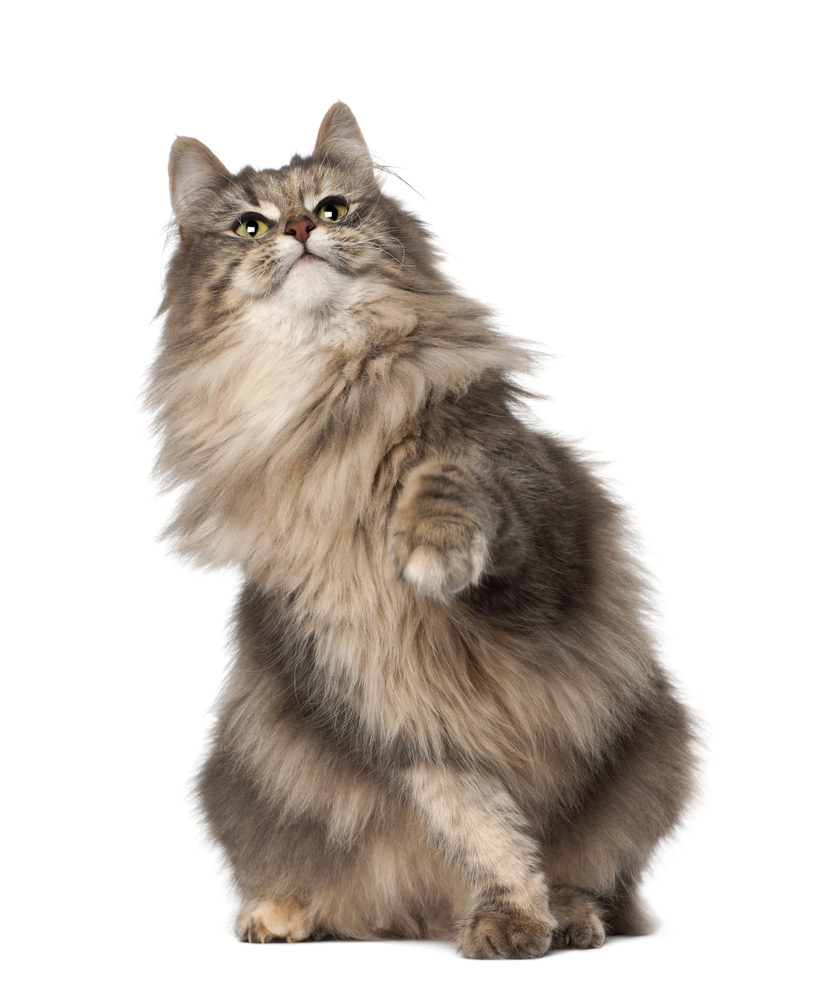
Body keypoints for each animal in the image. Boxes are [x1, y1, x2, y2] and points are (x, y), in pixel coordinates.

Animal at [150, 103, 700, 960]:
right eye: (249, 226)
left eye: (334, 208)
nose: (300, 228)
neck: (328, 402)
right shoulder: (385, 702)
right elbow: (479, 824)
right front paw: (510, 917)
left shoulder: (534, 535)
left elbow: (444, 473)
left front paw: (429, 549)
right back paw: (283, 912)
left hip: (657, 750)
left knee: (598, 876)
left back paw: (575, 917)